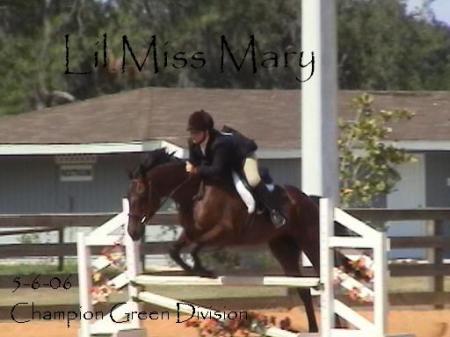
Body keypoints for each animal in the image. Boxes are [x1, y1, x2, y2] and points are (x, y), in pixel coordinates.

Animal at [127, 149, 324, 330]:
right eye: (128, 198)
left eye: (141, 195)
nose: (132, 232)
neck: (195, 193)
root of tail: (307, 199)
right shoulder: (192, 232)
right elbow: (175, 250)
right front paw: (193, 270)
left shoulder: (225, 232)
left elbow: (196, 247)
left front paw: (203, 270)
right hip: (283, 248)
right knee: (303, 288)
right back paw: (313, 329)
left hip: (310, 242)